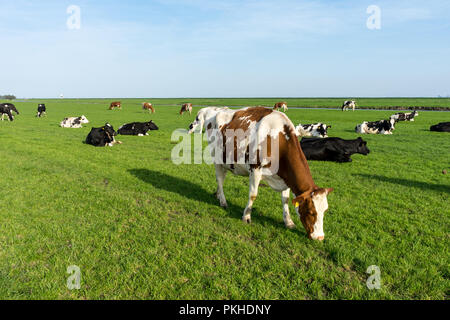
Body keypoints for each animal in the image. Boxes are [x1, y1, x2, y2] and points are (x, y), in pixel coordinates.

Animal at [206, 107, 332, 240]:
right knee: (219, 179)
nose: (319, 237)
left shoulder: (286, 177)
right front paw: (246, 216)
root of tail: (218, 110)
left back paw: (218, 195)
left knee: (222, 177)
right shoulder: (255, 169)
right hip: (216, 158)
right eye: (310, 212)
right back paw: (223, 201)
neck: (278, 138)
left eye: (325, 210)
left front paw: (288, 221)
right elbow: (253, 195)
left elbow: (285, 199)